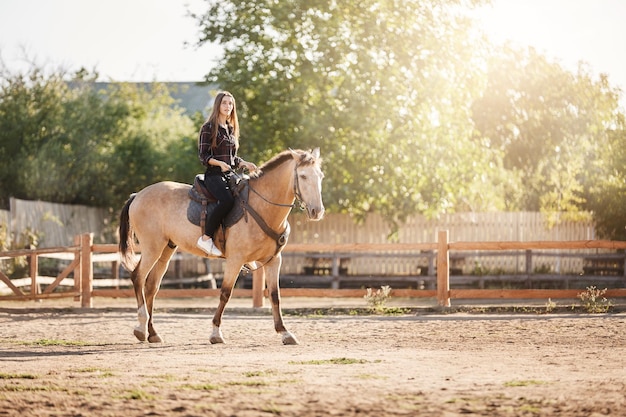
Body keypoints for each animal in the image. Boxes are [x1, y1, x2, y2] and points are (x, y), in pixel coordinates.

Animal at [117, 148, 324, 342]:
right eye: (303, 176)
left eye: (320, 176)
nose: (317, 211)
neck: (260, 207)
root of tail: (138, 195)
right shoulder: (235, 260)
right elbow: (225, 293)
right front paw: (216, 332)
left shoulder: (273, 260)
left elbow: (275, 296)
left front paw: (285, 332)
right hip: (152, 248)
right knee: (138, 277)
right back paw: (140, 328)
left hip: (166, 249)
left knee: (151, 286)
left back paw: (153, 333)